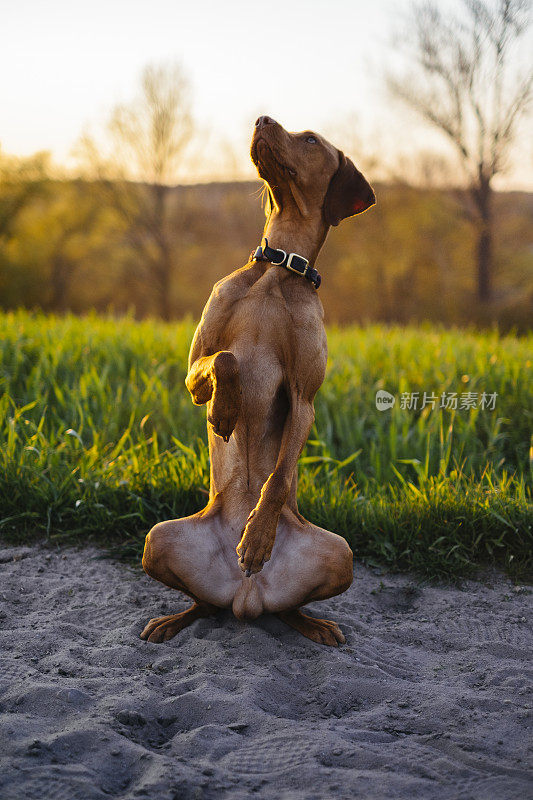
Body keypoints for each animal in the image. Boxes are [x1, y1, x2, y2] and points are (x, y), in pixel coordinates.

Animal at [141, 117, 374, 644]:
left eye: (311, 140)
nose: (261, 119)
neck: (277, 267)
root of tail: (246, 598)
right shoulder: (194, 369)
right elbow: (225, 360)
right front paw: (223, 412)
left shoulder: (305, 399)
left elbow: (279, 476)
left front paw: (258, 536)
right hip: (157, 539)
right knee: (203, 604)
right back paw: (173, 620)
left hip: (342, 555)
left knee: (285, 608)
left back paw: (310, 622)